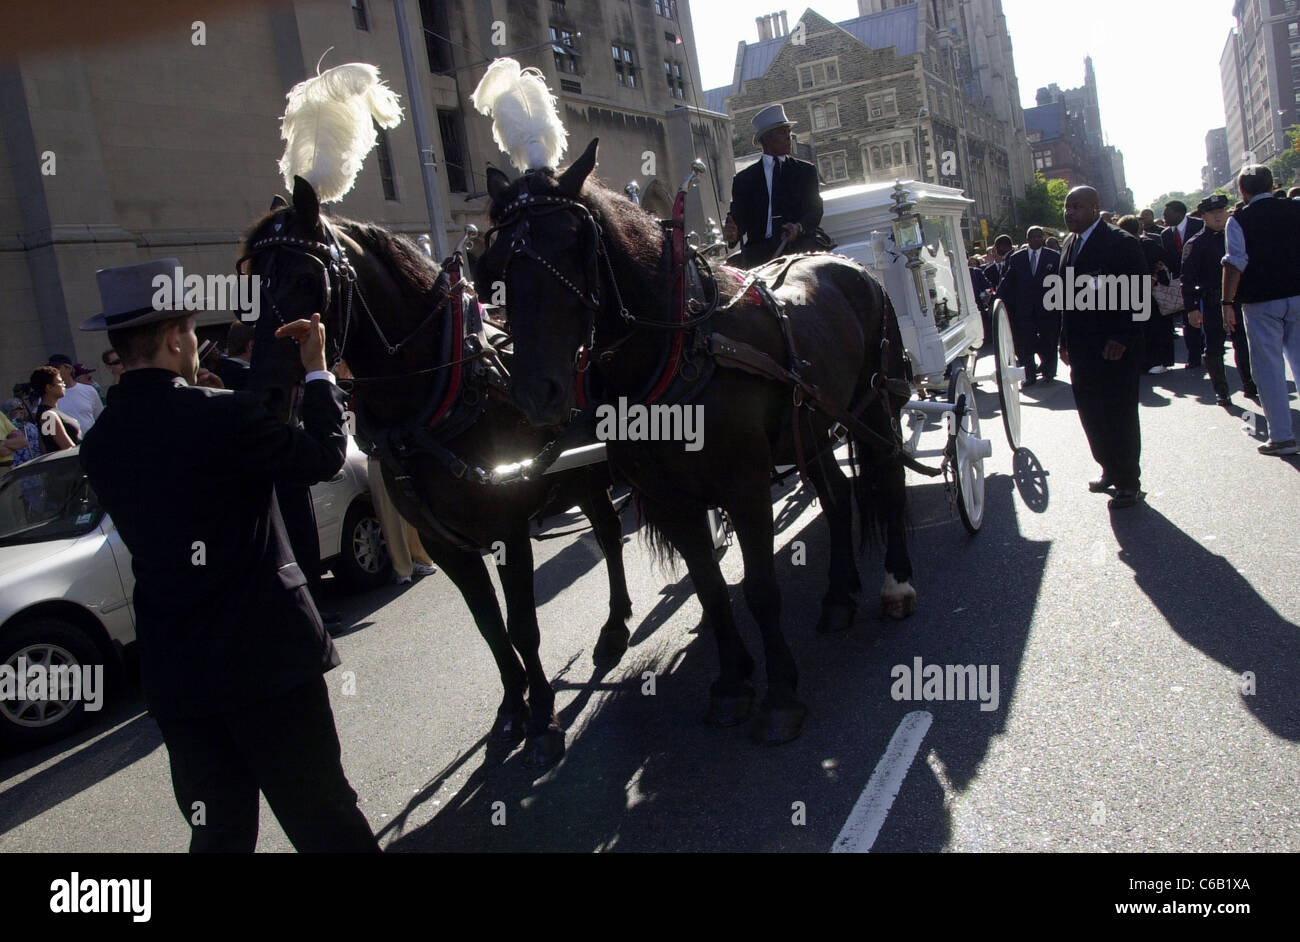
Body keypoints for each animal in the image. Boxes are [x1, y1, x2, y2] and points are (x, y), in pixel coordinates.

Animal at [241, 176, 637, 763]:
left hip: (585, 478)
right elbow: (489, 627)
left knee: (609, 536)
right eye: (249, 285)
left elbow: (523, 624)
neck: (436, 399)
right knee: (607, 532)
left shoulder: (507, 531)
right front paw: (511, 707)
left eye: (305, 278)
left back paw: (614, 625)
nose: (262, 397)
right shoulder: (443, 542)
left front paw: (543, 716)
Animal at [478, 139, 915, 743]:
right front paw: (732, 683)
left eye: (572, 239)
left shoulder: (745, 487)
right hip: (811, 431)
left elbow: (759, 589)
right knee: (837, 495)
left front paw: (780, 694)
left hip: (875, 402)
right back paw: (837, 595)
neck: (679, 349)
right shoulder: (671, 501)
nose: (535, 391)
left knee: (889, 481)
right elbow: (709, 586)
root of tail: (853, 267)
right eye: (496, 263)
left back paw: (895, 584)